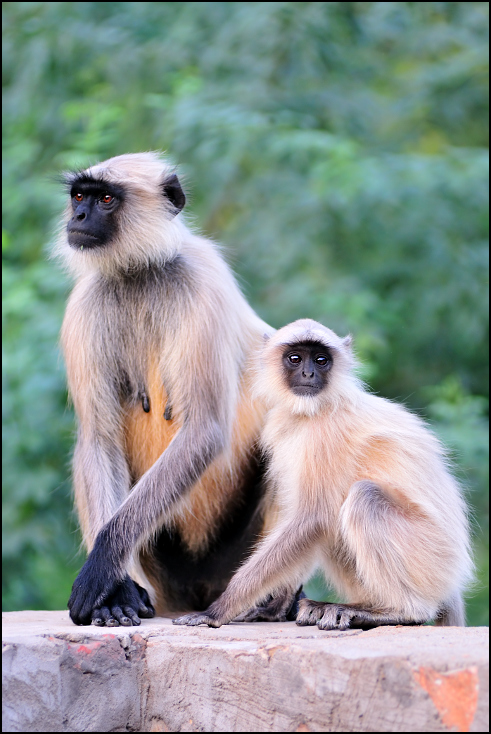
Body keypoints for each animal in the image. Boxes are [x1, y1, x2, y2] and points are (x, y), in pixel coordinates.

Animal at [55, 152, 304, 628]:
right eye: (79, 196)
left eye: (106, 199)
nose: (77, 218)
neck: (141, 272)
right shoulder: (86, 303)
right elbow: (99, 439)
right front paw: (115, 588)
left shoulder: (201, 280)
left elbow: (205, 429)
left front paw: (101, 566)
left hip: (232, 558)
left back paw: (273, 595)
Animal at [175, 320, 474, 628]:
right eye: (295, 358)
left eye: (321, 360)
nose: (309, 373)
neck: (316, 409)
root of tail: (453, 580)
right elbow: (305, 522)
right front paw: (275, 607)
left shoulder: (326, 433)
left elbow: (313, 519)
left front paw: (216, 612)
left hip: (430, 555)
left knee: (364, 498)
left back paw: (400, 611)